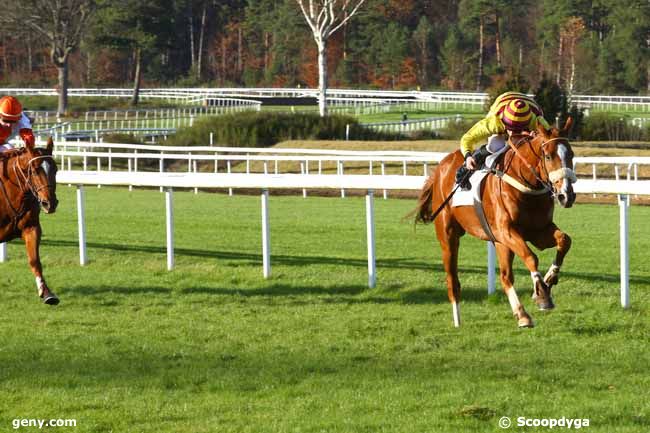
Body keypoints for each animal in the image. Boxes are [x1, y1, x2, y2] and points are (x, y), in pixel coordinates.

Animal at [0, 138, 59, 304]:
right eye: (34, 170)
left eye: (56, 169)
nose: (49, 203)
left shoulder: (31, 227)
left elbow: (34, 260)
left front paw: (47, 293)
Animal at [416, 120, 572, 326]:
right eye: (548, 156)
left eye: (571, 154)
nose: (566, 195)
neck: (525, 183)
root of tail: (441, 166)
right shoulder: (506, 231)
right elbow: (531, 257)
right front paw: (542, 295)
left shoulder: (538, 231)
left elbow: (565, 240)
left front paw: (550, 278)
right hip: (448, 236)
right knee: (452, 279)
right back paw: (458, 321)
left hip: (500, 243)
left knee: (506, 277)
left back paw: (522, 315)